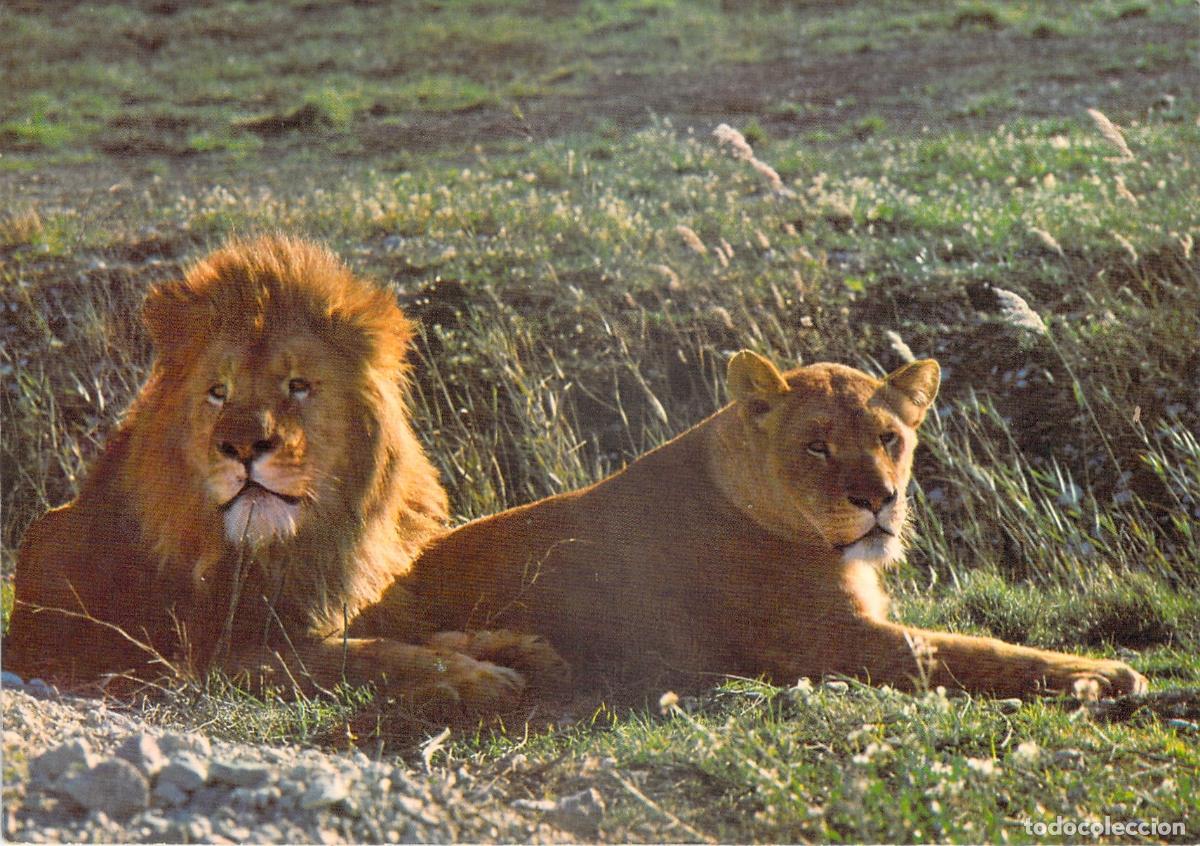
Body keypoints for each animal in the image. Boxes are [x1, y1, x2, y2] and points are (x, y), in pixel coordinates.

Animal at [4, 235, 562, 712]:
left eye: (297, 386)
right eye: (218, 392)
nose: (243, 447)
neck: (292, 549)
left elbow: (408, 632)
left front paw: (512, 645)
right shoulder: (215, 661)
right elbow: (367, 654)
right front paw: (476, 676)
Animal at [362, 350, 1147, 700]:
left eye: (890, 438)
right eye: (817, 446)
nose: (880, 498)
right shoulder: (832, 641)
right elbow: (974, 650)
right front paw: (1100, 672)